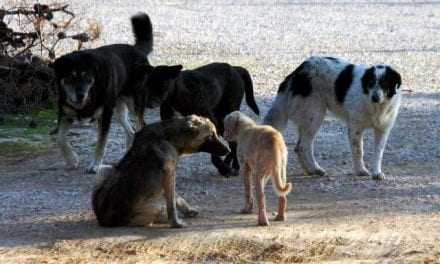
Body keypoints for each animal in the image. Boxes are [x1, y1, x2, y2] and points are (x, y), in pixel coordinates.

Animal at [52, 12, 182, 173]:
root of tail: (137, 50)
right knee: (131, 132)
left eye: (87, 78)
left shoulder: (104, 116)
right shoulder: (65, 113)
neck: (91, 94)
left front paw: (95, 165)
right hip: (118, 108)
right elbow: (60, 138)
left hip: (134, 104)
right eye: (70, 77)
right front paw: (72, 159)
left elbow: (101, 143)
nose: (80, 95)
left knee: (140, 126)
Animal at [92, 114, 230, 228]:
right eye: (210, 136)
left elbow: (177, 198)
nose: (228, 150)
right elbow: (172, 204)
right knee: (158, 214)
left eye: (215, 133)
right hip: (155, 209)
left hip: (105, 170)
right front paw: (176, 223)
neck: (169, 137)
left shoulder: (168, 176)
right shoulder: (169, 173)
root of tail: (105, 220)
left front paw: (188, 210)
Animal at [262, 56, 402, 179]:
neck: (376, 106)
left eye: (385, 83)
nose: (375, 97)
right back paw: (315, 168)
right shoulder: (355, 129)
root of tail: (298, 71)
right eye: (371, 83)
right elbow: (358, 151)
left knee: (299, 147)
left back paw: (311, 170)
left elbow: (378, 153)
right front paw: (360, 170)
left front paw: (377, 173)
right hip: (314, 115)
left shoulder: (382, 130)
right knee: (303, 146)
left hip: (310, 117)